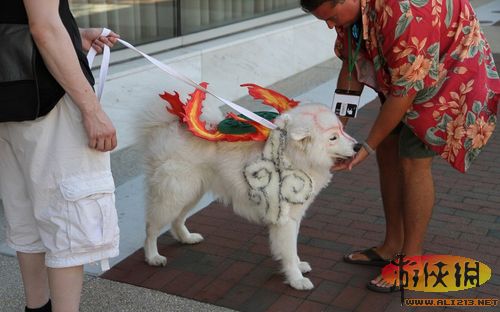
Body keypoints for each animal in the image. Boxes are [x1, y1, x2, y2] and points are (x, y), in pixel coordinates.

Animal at [141, 87, 360, 290]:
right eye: (333, 137)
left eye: (342, 129)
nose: (358, 147)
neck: (292, 156)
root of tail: (167, 127)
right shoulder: (285, 220)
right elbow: (289, 251)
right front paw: (296, 279)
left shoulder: (295, 216)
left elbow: (292, 248)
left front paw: (299, 266)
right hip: (175, 194)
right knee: (151, 228)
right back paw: (153, 257)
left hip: (191, 192)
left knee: (177, 220)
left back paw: (186, 238)